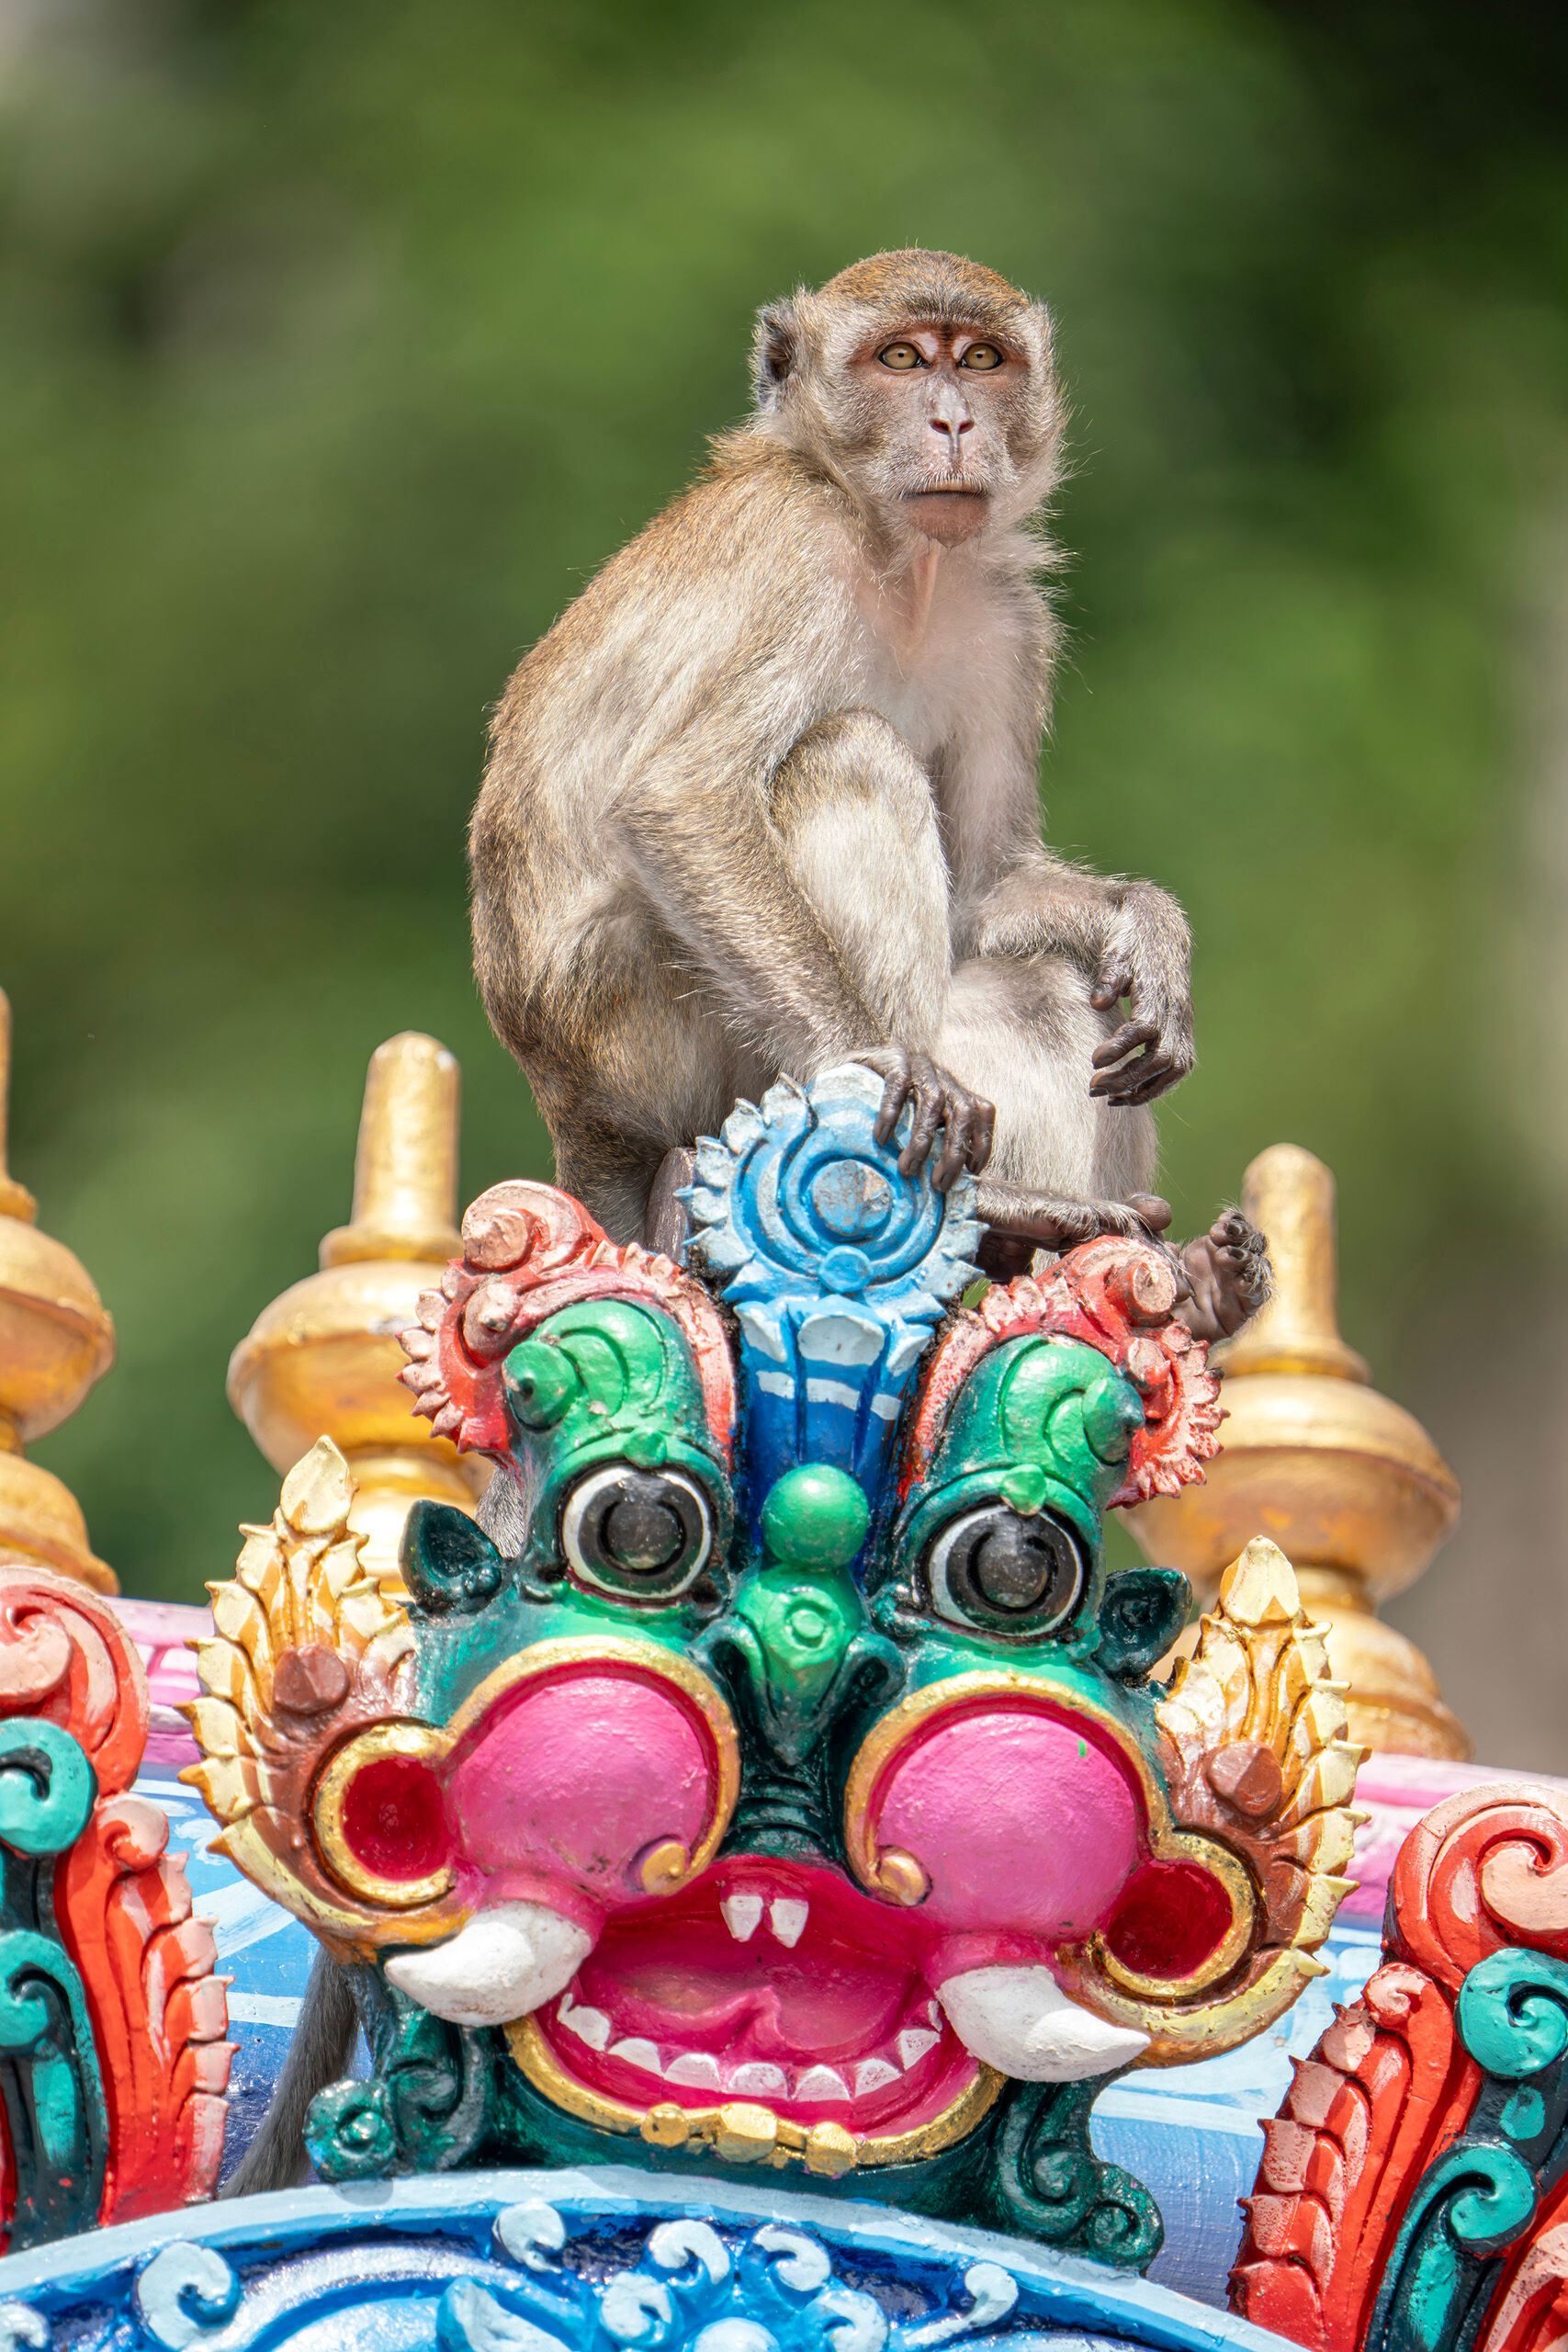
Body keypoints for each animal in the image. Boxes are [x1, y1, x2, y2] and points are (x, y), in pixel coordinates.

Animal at [470, 248, 1264, 1338]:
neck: (901, 557)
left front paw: (1148, 928)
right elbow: (680, 797)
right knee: (847, 753)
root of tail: (568, 1105)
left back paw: (1170, 1278)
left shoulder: (1009, 623)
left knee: (1041, 983)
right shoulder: (793, 546)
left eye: (980, 360)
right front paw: (882, 1068)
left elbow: (985, 886)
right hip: (640, 1027)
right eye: (900, 359)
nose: (954, 421)